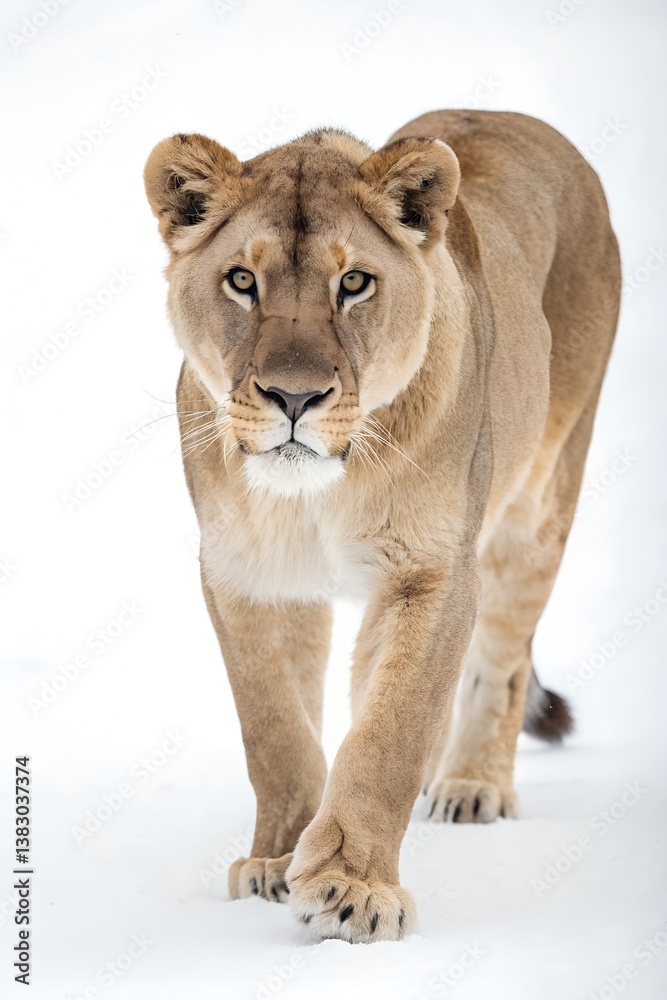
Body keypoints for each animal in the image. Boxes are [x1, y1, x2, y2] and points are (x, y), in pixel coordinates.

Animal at [144, 110, 620, 943]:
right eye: (242, 281)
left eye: (354, 283)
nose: (293, 397)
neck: (312, 496)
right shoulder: (247, 576)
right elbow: (276, 730)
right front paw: (276, 860)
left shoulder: (429, 572)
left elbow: (387, 734)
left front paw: (351, 888)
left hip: (538, 505)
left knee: (502, 661)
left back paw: (469, 786)